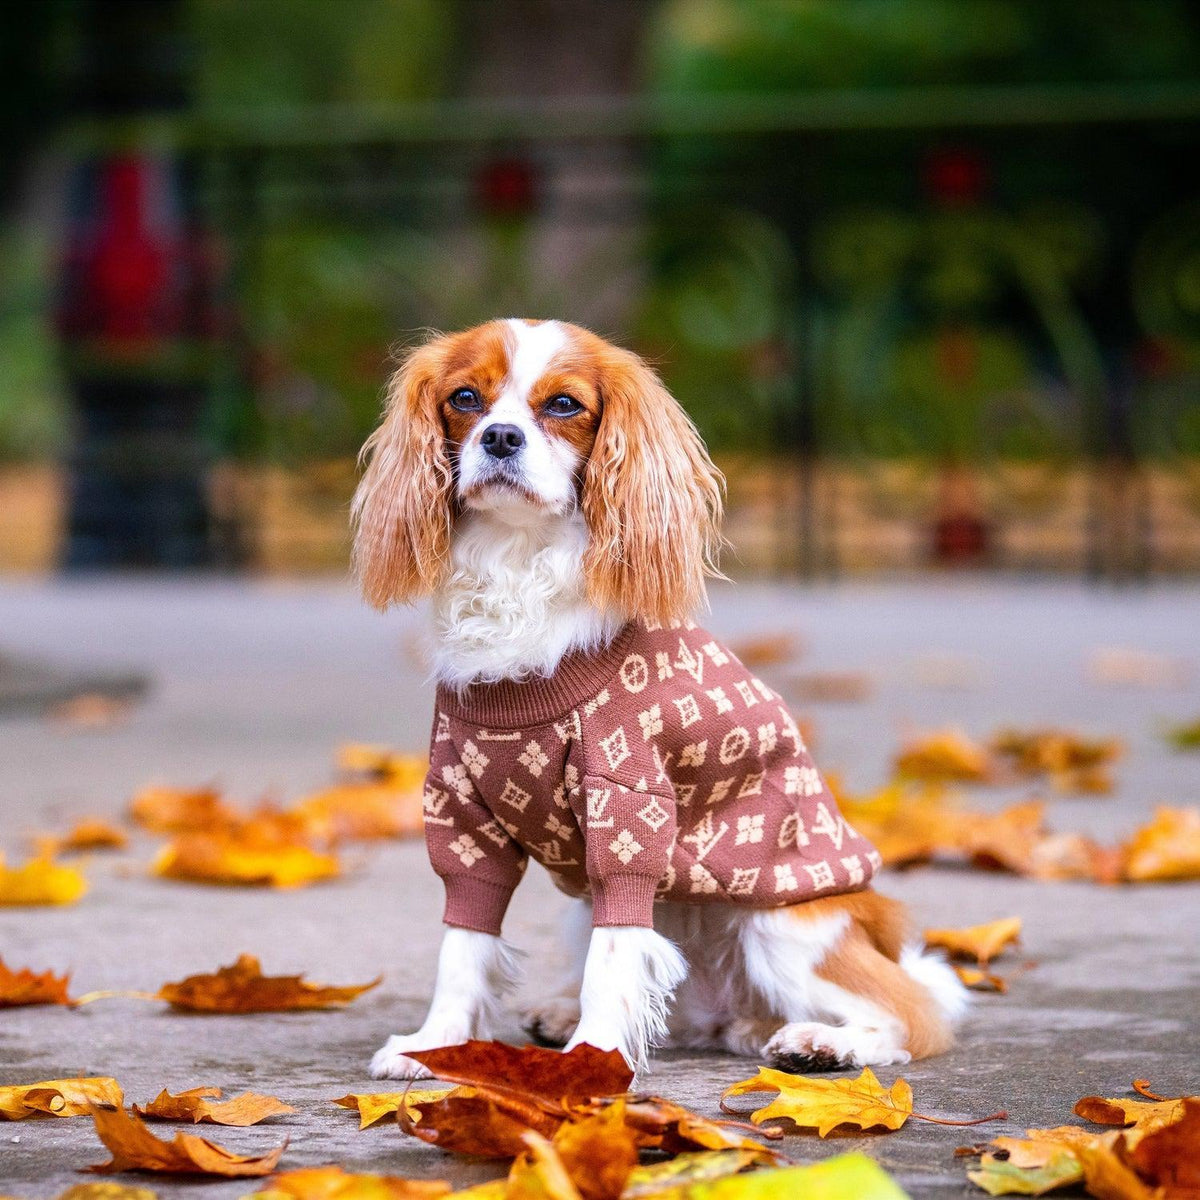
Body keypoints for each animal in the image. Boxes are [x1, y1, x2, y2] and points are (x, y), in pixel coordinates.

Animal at [350, 316, 964, 1080]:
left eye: (564, 406)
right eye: (465, 398)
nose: (500, 437)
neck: (517, 566)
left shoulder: (626, 802)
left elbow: (615, 954)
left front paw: (591, 1062)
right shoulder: (461, 808)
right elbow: (463, 942)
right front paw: (435, 1045)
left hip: (784, 925)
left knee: (913, 1015)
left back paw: (826, 1044)